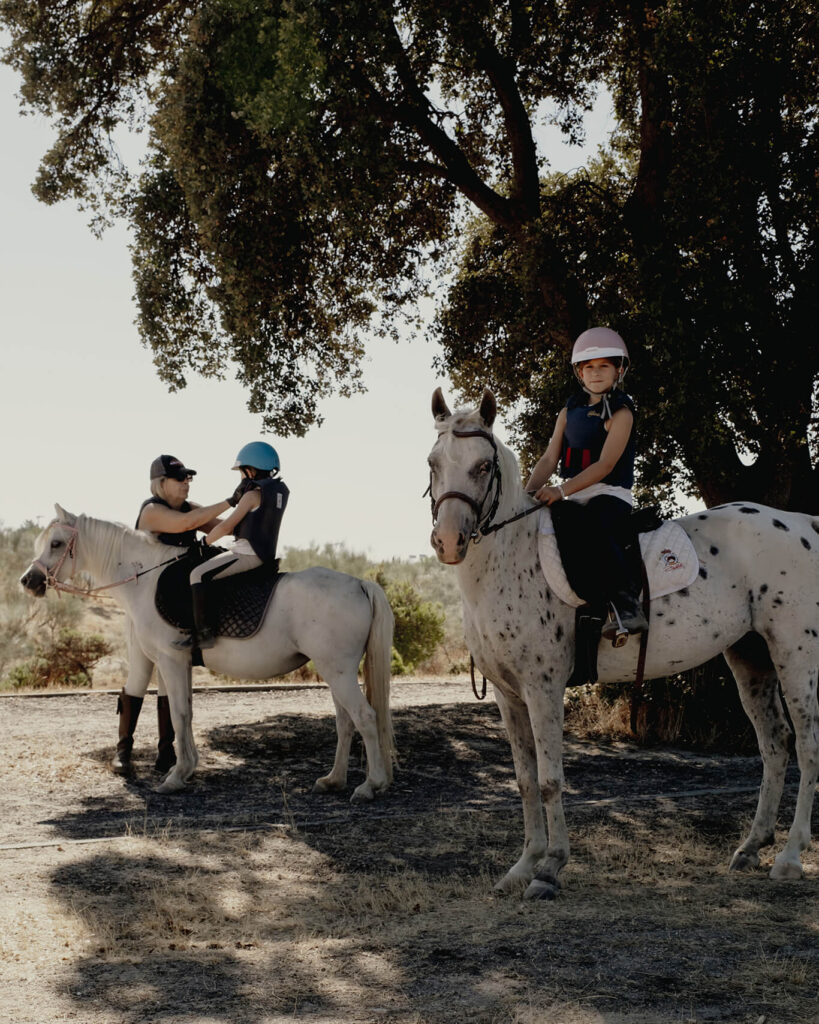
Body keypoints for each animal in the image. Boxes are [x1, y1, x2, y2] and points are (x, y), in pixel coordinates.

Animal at [20, 506, 396, 801]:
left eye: (56, 544)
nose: (29, 581)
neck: (146, 578)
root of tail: (359, 583)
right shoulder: (178, 663)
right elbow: (181, 713)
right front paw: (186, 770)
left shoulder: (170, 660)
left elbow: (179, 714)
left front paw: (176, 776)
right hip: (334, 672)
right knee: (345, 722)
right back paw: (333, 780)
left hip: (339, 672)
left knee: (365, 717)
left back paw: (370, 785)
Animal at [427, 387, 819, 899]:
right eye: (433, 462)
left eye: (483, 466)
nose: (449, 541)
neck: (508, 559)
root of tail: (803, 524)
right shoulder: (508, 694)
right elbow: (526, 781)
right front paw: (522, 866)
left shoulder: (543, 688)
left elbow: (550, 780)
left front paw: (550, 869)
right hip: (750, 657)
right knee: (775, 743)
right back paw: (751, 848)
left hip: (796, 656)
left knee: (808, 746)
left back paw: (790, 857)